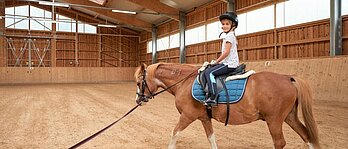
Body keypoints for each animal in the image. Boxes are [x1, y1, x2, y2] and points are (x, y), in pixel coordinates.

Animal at [135, 62, 320, 149]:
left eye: (138, 83)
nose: (138, 100)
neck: (184, 82)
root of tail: (287, 78)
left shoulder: (188, 115)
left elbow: (174, 133)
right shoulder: (204, 118)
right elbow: (211, 138)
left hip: (274, 121)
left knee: (280, 142)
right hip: (289, 117)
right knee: (307, 136)